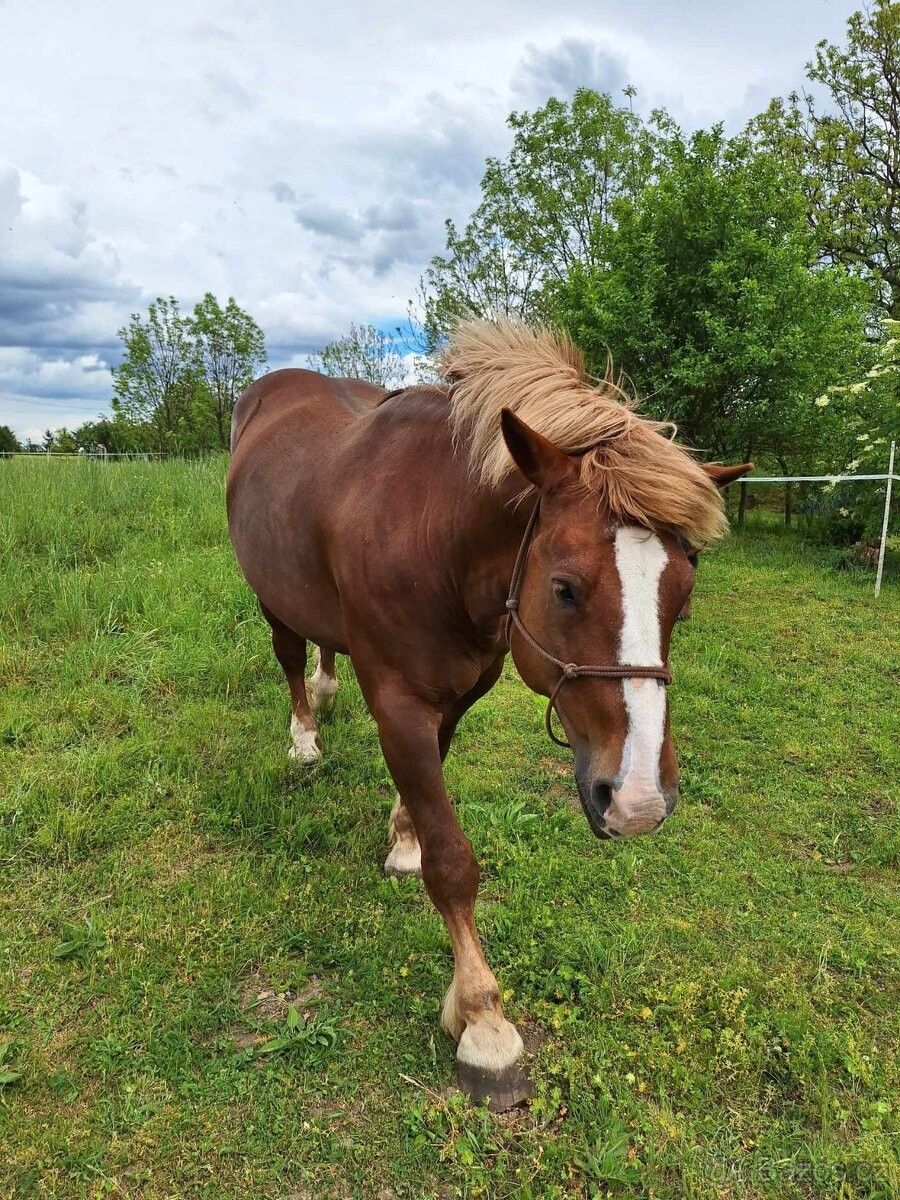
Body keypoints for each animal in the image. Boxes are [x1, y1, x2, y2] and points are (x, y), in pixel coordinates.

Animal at [229, 319, 744, 1104]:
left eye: (682, 595)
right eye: (564, 588)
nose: (638, 801)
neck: (433, 535)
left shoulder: (457, 696)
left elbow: (424, 801)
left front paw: (402, 838)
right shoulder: (400, 705)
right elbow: (454, 864)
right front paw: (481, 1021)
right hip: (271, 595)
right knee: (288, 653)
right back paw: (305, 736)